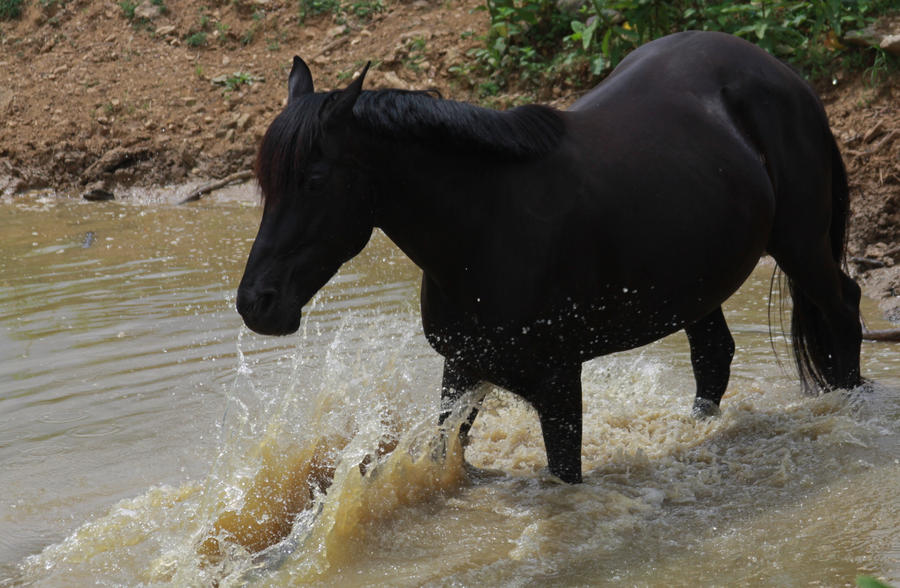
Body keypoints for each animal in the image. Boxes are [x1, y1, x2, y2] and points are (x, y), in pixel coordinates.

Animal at [236, 31, 860, 482]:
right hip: (700, 281)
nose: (255, 304)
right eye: (264, 182)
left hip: (801, 246)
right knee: (713, 356)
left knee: (843, 310)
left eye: (315, 181)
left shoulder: (559, 387)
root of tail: (783, 74)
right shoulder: (461, 369)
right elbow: (443, 454)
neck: (487, 229)